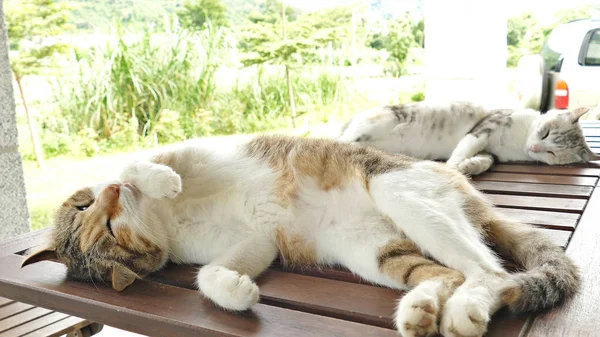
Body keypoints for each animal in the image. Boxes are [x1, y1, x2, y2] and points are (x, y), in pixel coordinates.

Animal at [21, 135, 580, 336]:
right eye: (111, 232)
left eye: (90, 207)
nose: (113, 193)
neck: (165, 219)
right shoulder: (252, 242)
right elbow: (208, 275)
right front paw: (238, 292)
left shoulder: (195, 150)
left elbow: (141, 158)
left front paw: (155, 178)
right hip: (372, 251)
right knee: (452, 273)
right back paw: (421, 310)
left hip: (399, 192)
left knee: (487, 270)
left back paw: (462, 311)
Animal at [340, 101, 596, 176]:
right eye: (545, 132)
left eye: (551, 153)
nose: (534, 147)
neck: (519, 140)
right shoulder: (481, 130)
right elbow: (462, 150)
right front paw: (454, 168)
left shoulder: (490, 152)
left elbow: (484, 161)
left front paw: (469, 167)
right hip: (372, 125)